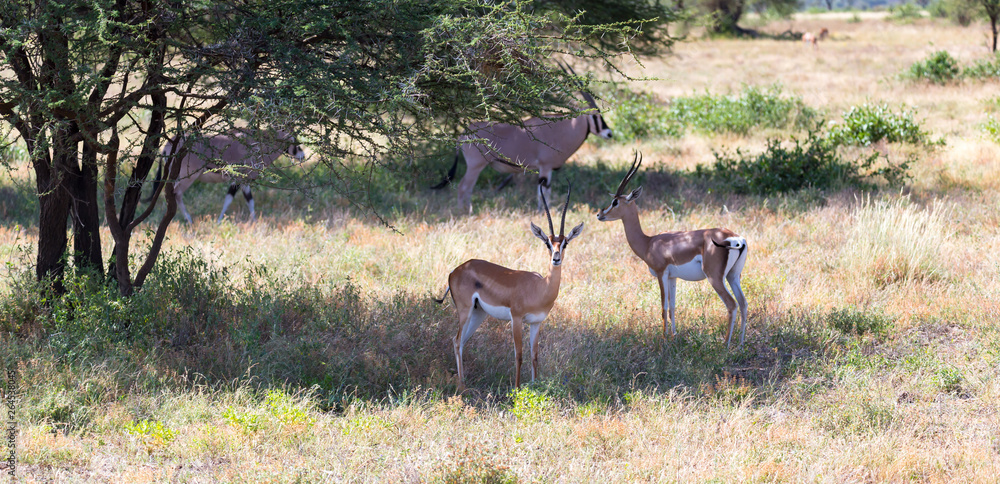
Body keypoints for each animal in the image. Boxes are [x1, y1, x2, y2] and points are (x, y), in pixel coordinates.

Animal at [153, 129, 306, 223]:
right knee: (177, 193)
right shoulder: (241, 179)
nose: (303, 156)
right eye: (295, 142)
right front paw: (254, 222)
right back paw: (189, 220)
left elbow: (235, 199)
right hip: (189, 177)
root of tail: (167, 146)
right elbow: (242, 199)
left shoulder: (240, 181)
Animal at [435, 187, 584, 391]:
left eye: (565, 243)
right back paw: (462, 386)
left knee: (462, 341)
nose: (556, 258)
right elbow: (519, 355)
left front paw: (535, 386)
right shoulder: (516, 319)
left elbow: (534, 356)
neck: (540, 288)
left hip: (478, 313)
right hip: (465, 311)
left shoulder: (536, 323)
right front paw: (517, 389)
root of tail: (456, 270)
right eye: (547, 243)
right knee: (457, 341)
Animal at [596, 153, 749, 347]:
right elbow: (673, 307)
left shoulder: (661, 273)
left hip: (715, 278)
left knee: (732, 304)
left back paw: (725, 345)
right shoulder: (673, 277)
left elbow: (664, 306)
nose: (600, 214)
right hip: (733, 276)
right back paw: (741, 344)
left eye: (615, 202)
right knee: (743, 303)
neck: (649, 242)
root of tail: (736, 238)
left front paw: (664, 340)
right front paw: (674, 336)